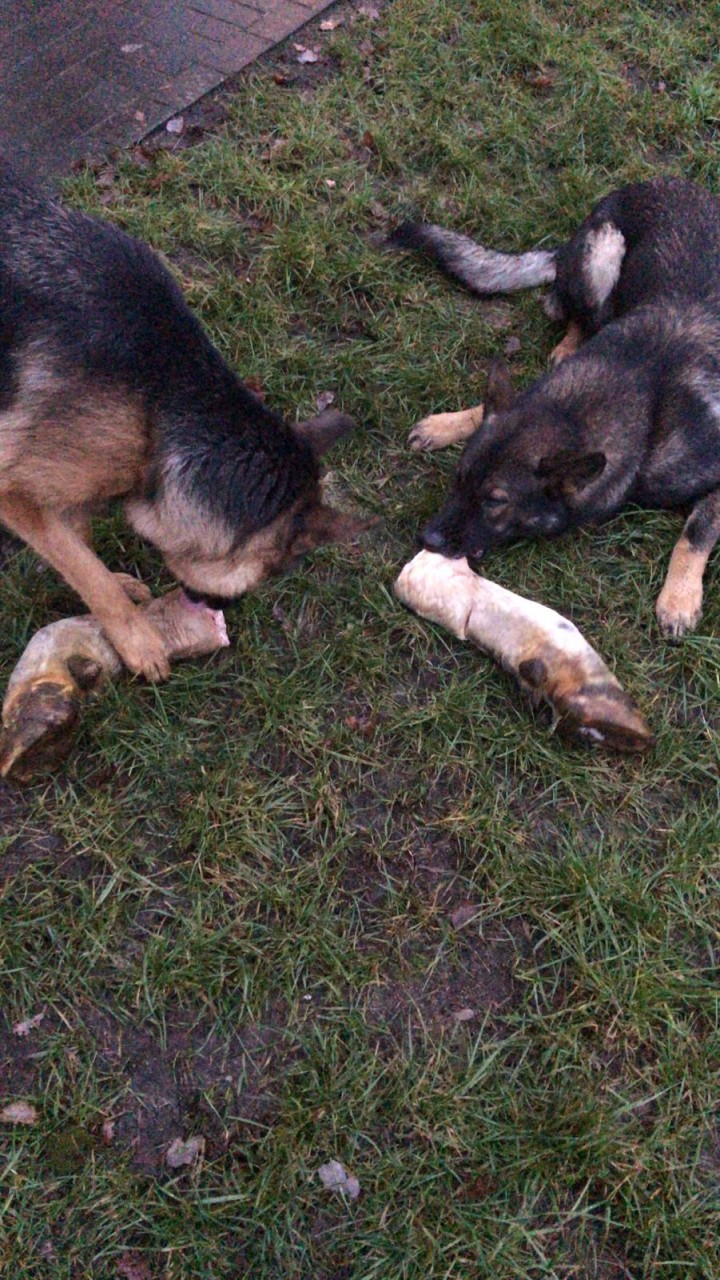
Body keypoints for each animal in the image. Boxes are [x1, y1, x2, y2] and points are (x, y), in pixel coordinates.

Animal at [0, 157, 366, 680]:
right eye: (269, 572)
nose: (217, 609)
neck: (162, 400)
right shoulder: (13, 491)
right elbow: (83, 565)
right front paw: (135, 637)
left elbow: (77, 543)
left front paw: (111, 589)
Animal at [388, 178, 720, 637]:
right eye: (459, 478)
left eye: (495, 500)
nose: (427, 539)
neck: (643, 387)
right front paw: (448, 423)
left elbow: (697, 530)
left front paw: (679, 598)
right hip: (602, 252)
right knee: (576, 314)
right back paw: (566, 345)